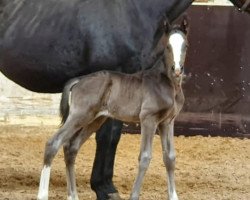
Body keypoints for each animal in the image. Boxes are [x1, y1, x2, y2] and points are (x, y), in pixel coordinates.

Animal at [37, 19, 188, 200]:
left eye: (185, 45)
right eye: (167, 46)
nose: (177, 70)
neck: (168, 85)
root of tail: (79, 80)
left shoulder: (167, 122)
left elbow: (170, 157)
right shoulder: (148, 119)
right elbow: (145, 156)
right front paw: (134, 196)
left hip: (95, 119)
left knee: (71, 147)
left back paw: (73, 195)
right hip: (79, 115)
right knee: (53, 143)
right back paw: (42, 194)